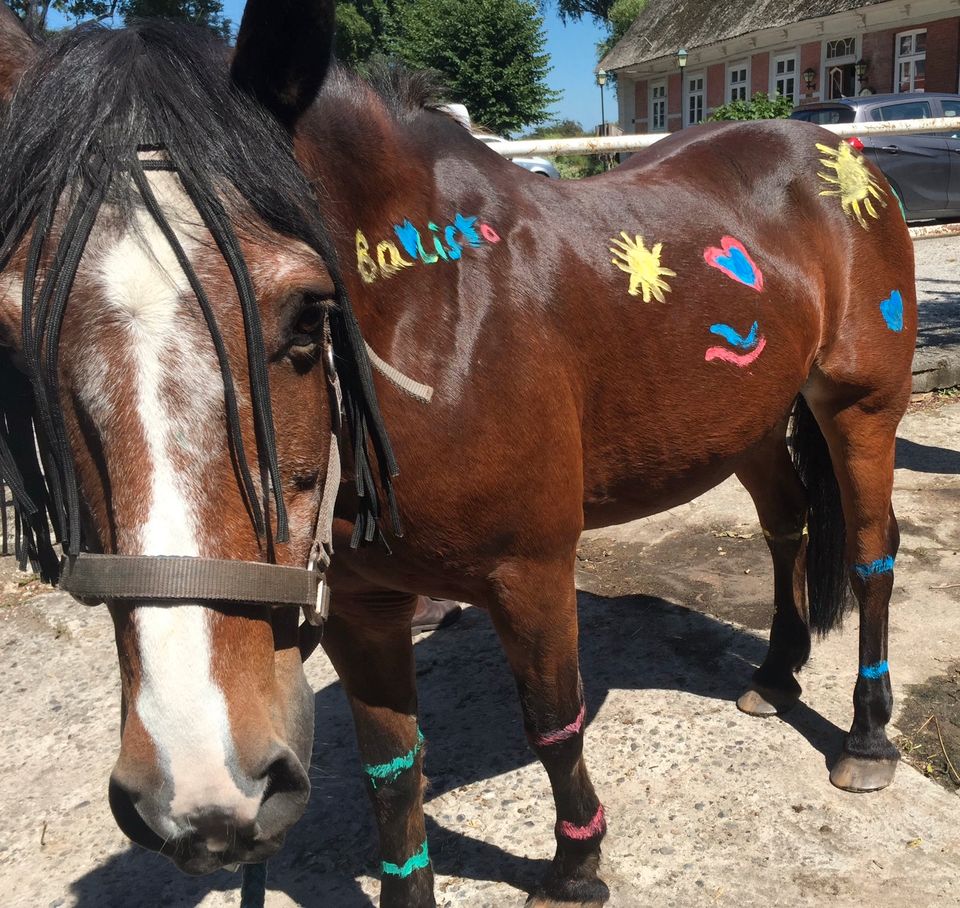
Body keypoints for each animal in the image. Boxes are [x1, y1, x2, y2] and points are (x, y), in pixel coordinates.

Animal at [0, 3, 920, 904]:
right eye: (16, 335)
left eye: (306, 314)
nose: (201, 794)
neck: (439, 322)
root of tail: (831, 152)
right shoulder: (363, 607)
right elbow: (391, 774)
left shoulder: (533, 571)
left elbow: (553, 724)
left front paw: (575, 870)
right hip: (752, 421)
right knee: (788, 529)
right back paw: (776, 674)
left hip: (860, 408)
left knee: (873, 553)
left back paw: (867, 738)